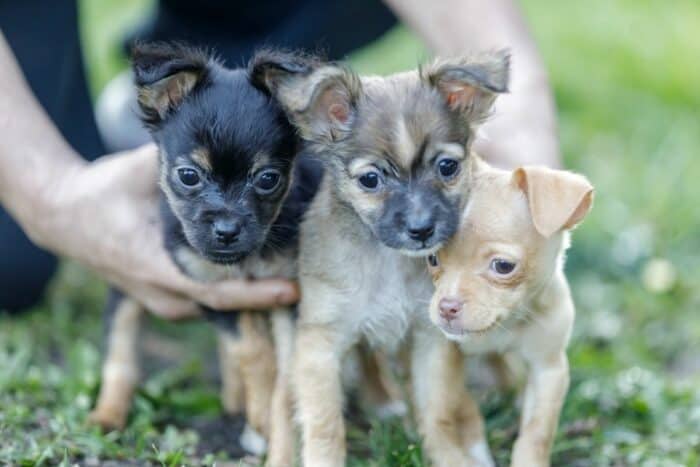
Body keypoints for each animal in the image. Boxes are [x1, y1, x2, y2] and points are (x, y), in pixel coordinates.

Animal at [86, 43, 322, 464]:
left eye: (268, 180)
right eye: (189, 176)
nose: (226, 230)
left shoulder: (290, 297)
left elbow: (285, 380)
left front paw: (274, 434)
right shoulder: (211, 288)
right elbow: (253, 351)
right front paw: (259, 414)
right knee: (121, 346)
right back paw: (108, 414)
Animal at [258, 52, 508, 467]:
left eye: (447, 167)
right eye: (370, 180)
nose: (421, 229)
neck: (390, 260)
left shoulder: (430, 340)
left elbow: (438, 411)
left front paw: (448, 455)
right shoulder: (318, 345)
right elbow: (324, 424)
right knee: (281, 398)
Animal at [424, 158, 592, 467]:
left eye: (503, 266)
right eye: (432, 259)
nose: (446, 307)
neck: (507, 323)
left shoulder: (548, 368)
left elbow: (537, 431)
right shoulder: (445, 357)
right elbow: (462, 408)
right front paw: (474, 452)